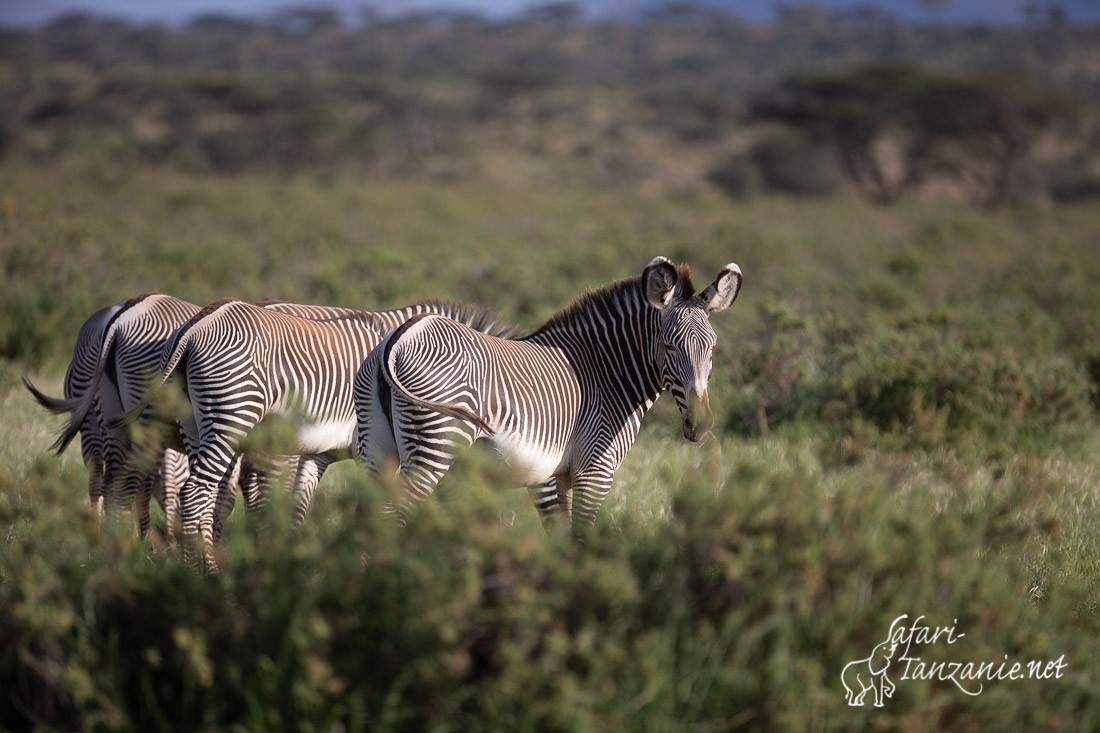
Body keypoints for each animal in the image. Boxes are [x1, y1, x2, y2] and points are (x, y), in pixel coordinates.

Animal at [356, 256, 743, 537]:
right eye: (669, 346)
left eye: (713, 349)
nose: (700, 425)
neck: (605, 372)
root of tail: (402, 334)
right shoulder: (595, 471)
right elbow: (581, 536)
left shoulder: (560, 475)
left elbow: (561, 535)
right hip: (435, 446)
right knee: (395, 514)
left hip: (380, 449)